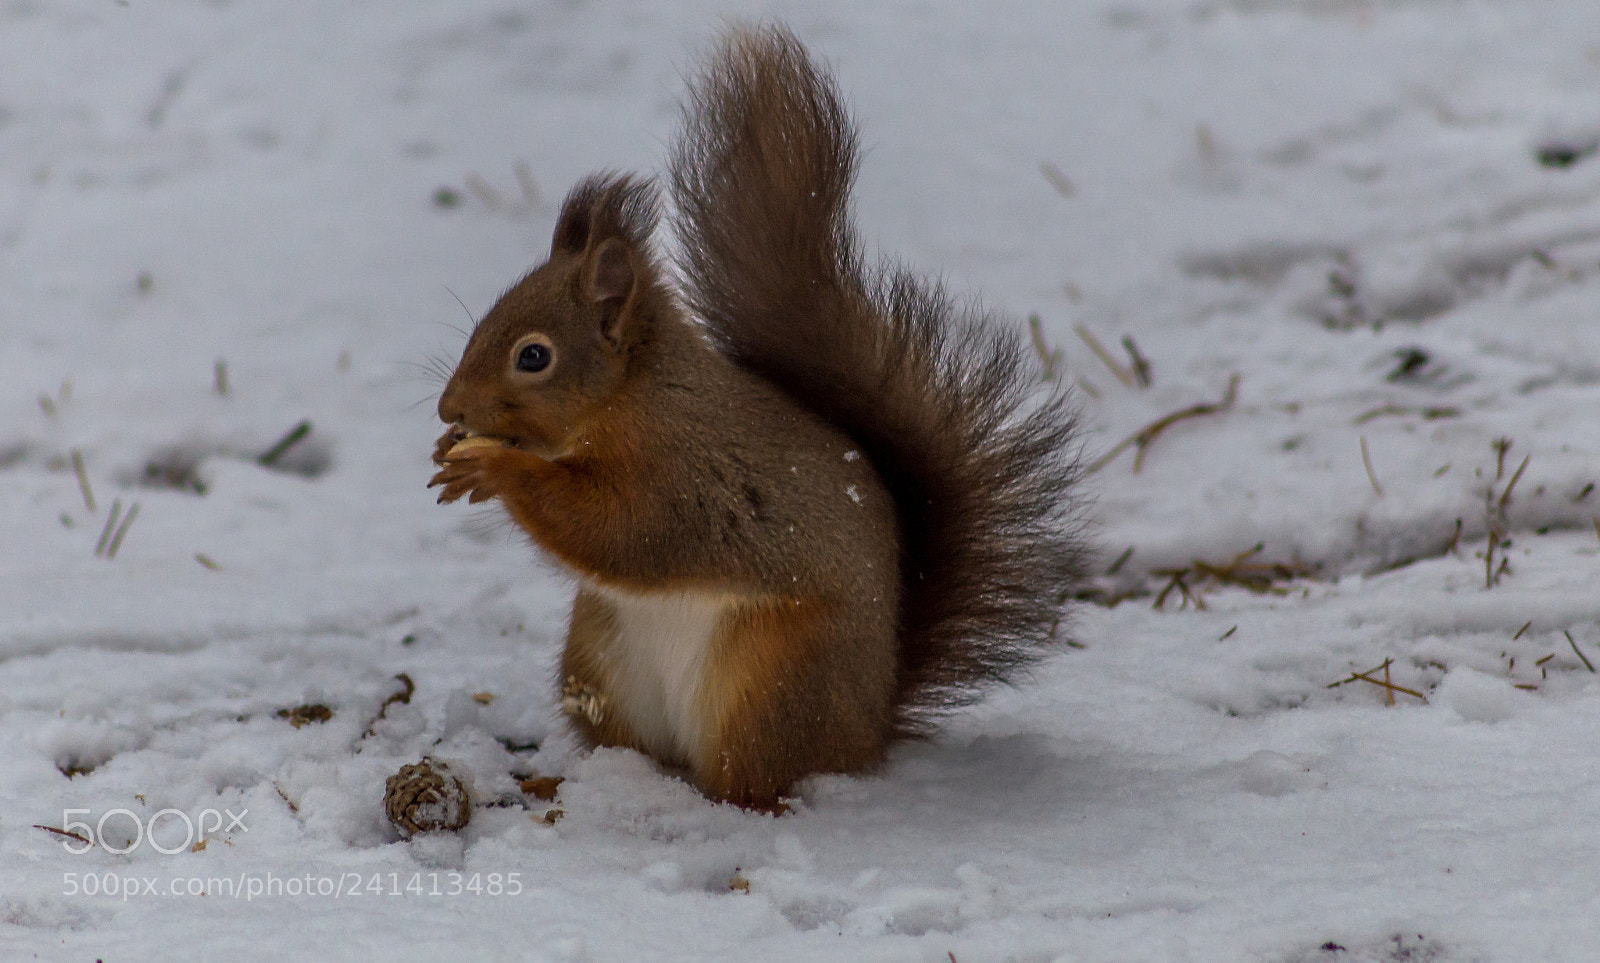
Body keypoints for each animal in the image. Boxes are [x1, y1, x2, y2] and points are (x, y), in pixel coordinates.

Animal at [429, 23, 1087, 811]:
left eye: (533, 356)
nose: (449, 407)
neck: (634, 397)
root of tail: (868, 732)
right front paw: (451, 451)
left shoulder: (683, 475)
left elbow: (618, 530)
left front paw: (493, 466)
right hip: (599, 659)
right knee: (640, 748)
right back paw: (576, 779)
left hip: (769, 679)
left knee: (751, 777)